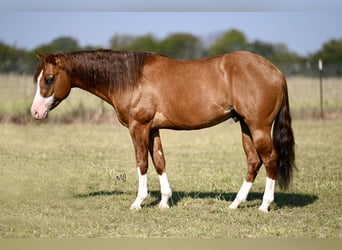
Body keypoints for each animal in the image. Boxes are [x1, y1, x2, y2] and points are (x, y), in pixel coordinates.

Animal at [30, 49, 296, 212]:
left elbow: (142, 163)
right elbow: (159, 161)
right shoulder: (152, 129)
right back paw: (236, 203)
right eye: (38, 78)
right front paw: (165, 201)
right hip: (245, 126)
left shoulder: (138, 127)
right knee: (253, 161)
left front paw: (138, 202)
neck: (131, 78)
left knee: (270, 159)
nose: (35, 112)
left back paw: (264, 205)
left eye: (49, 79)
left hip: (258, 126)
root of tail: (274, 70)